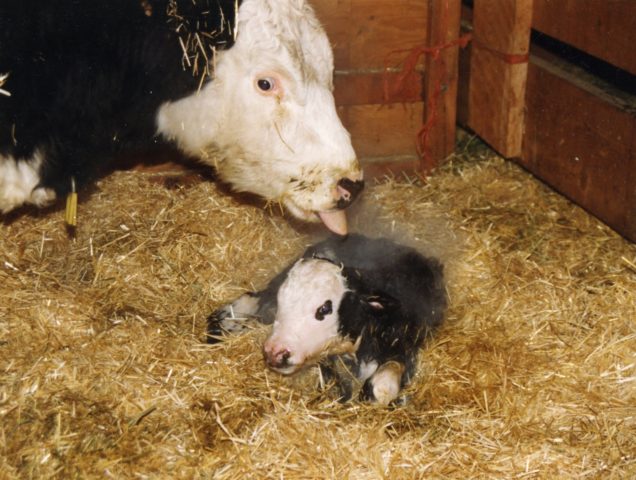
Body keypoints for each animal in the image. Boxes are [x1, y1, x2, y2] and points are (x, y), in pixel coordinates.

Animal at [209, 234, 448, 406]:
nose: (275, 352)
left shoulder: (407, 346)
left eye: (325, 308)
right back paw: (223, 322)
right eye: (282, 299)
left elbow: (382, 385)